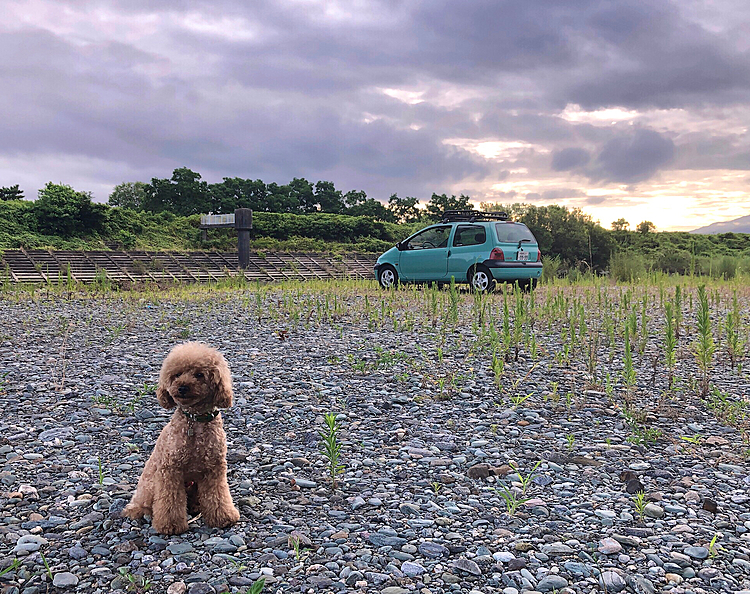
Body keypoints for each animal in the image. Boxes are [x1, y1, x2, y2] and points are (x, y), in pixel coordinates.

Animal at [122, 342, 241, 532]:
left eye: (199, 374)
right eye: (176, 375)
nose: (182, 387)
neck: (195, 420)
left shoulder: (214, 469)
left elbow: (218, 496)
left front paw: (223, 517)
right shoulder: (170, 470)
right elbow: (170, 502)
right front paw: (170, 525)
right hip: (150, 485)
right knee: (144, 504)